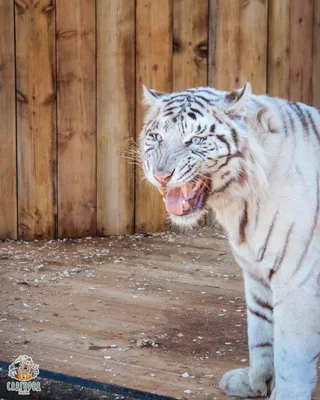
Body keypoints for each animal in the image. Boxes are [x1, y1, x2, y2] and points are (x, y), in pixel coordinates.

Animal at [139, 83, 320, 398]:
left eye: (195, 140)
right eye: (157, 137)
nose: (161, 176)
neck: (242, 202)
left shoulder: (296, 280)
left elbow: (291, 355)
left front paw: (284, 394)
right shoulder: (257, 273)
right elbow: (260, 332)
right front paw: (256, 382)